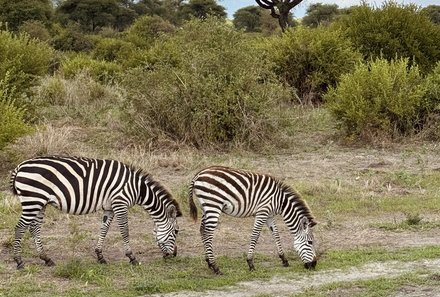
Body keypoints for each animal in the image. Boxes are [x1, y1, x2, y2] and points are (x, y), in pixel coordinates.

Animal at [10, 155, 182, 268]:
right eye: (176, 231)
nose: (174, 255)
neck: (138, 189)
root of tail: (20, 166)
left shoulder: (109, 208)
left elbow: (104, 230)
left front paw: (100, 256)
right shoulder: (120, 203)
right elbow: (125, 231)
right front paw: (132, 257)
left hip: (40, 203)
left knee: (34, 228)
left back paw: (46, 259)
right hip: (33, 200)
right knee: (20, 227)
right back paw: (19, 261)